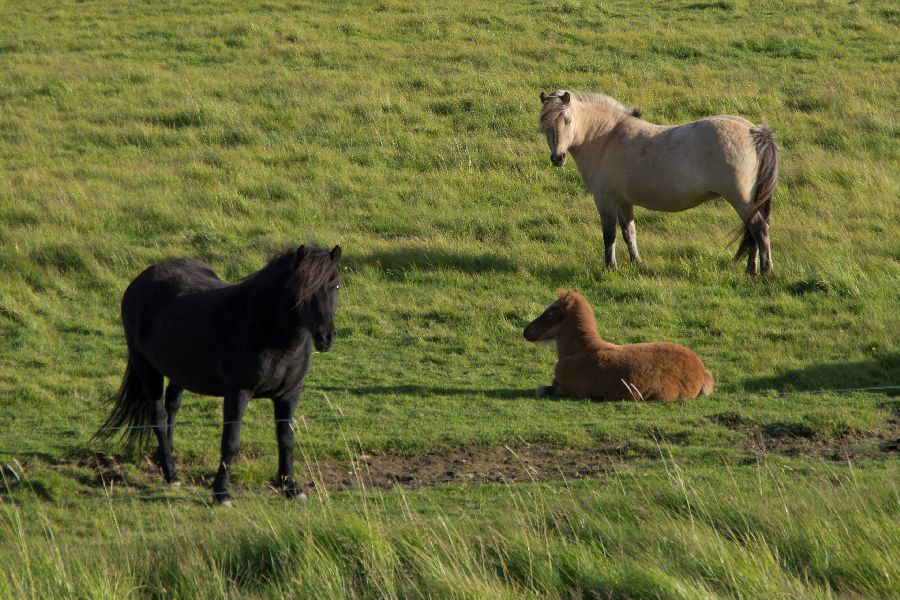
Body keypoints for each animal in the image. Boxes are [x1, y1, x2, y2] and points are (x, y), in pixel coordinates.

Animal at [95, 241, 342, 504]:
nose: (325, 337)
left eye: (335, 284)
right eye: (301, 288)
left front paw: (291, 487)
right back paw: (171, 474)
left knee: (172, 408)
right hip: (146, 368)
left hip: (178, 371)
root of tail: (140, 280)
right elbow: (230, 442)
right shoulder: (237, 393)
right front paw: (221, 493)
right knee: (159, 417)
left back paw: (166, 460)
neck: (265, 331)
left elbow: (286, 439)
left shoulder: (290, 394)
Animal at [524, 290, 712, 404]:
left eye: (552, 311)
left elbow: (541, 389)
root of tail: (701, 371)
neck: (580, 350)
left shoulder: (566, 389)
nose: (526, 330)